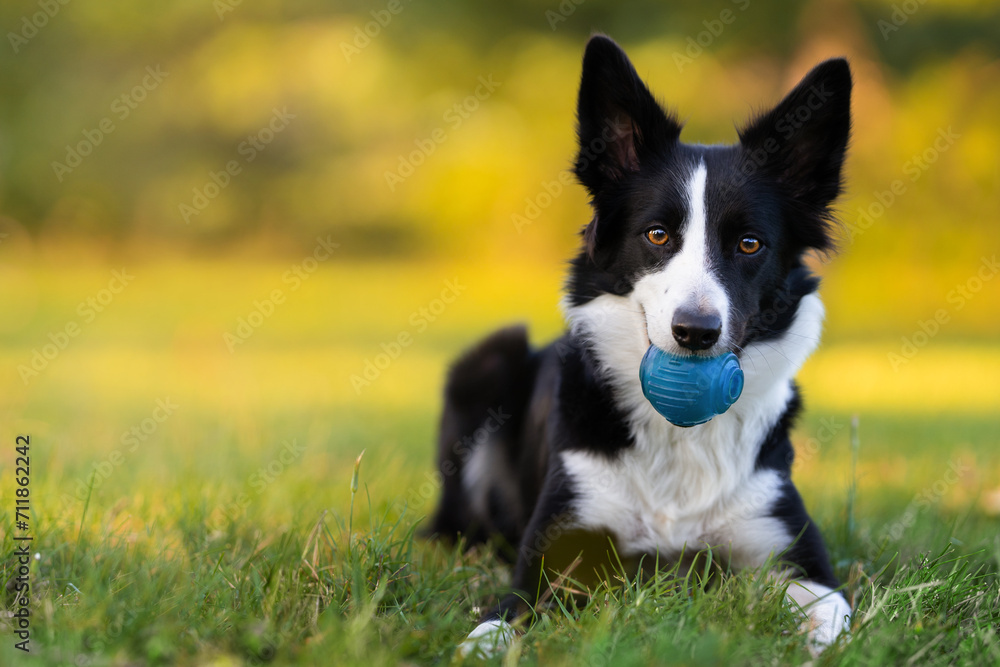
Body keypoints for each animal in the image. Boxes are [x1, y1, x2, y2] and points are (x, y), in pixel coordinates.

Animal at [430, 36, 852, 656]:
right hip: (488, 361)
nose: (695, 331)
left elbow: (832, 615)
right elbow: (502, 617)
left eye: (750, 243)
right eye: (657, 234)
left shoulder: (795, 557)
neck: (681, 435)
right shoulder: (554, 553)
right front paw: (482, 645)